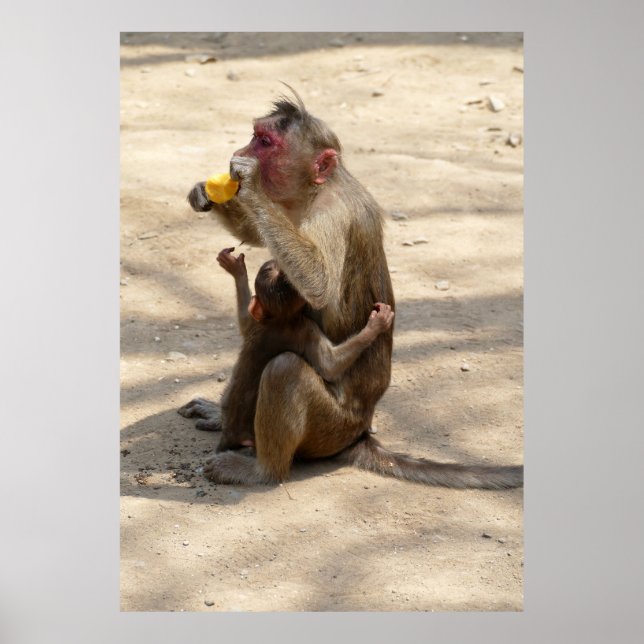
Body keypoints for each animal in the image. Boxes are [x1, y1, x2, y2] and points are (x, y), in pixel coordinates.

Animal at [181, 247, 394, 454]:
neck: (279, 319)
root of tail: (229, 437)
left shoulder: (279, 325)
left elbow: (245, 320)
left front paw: (237, 269)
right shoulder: (302, 327)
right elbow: (329, 365)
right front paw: (375, 326)